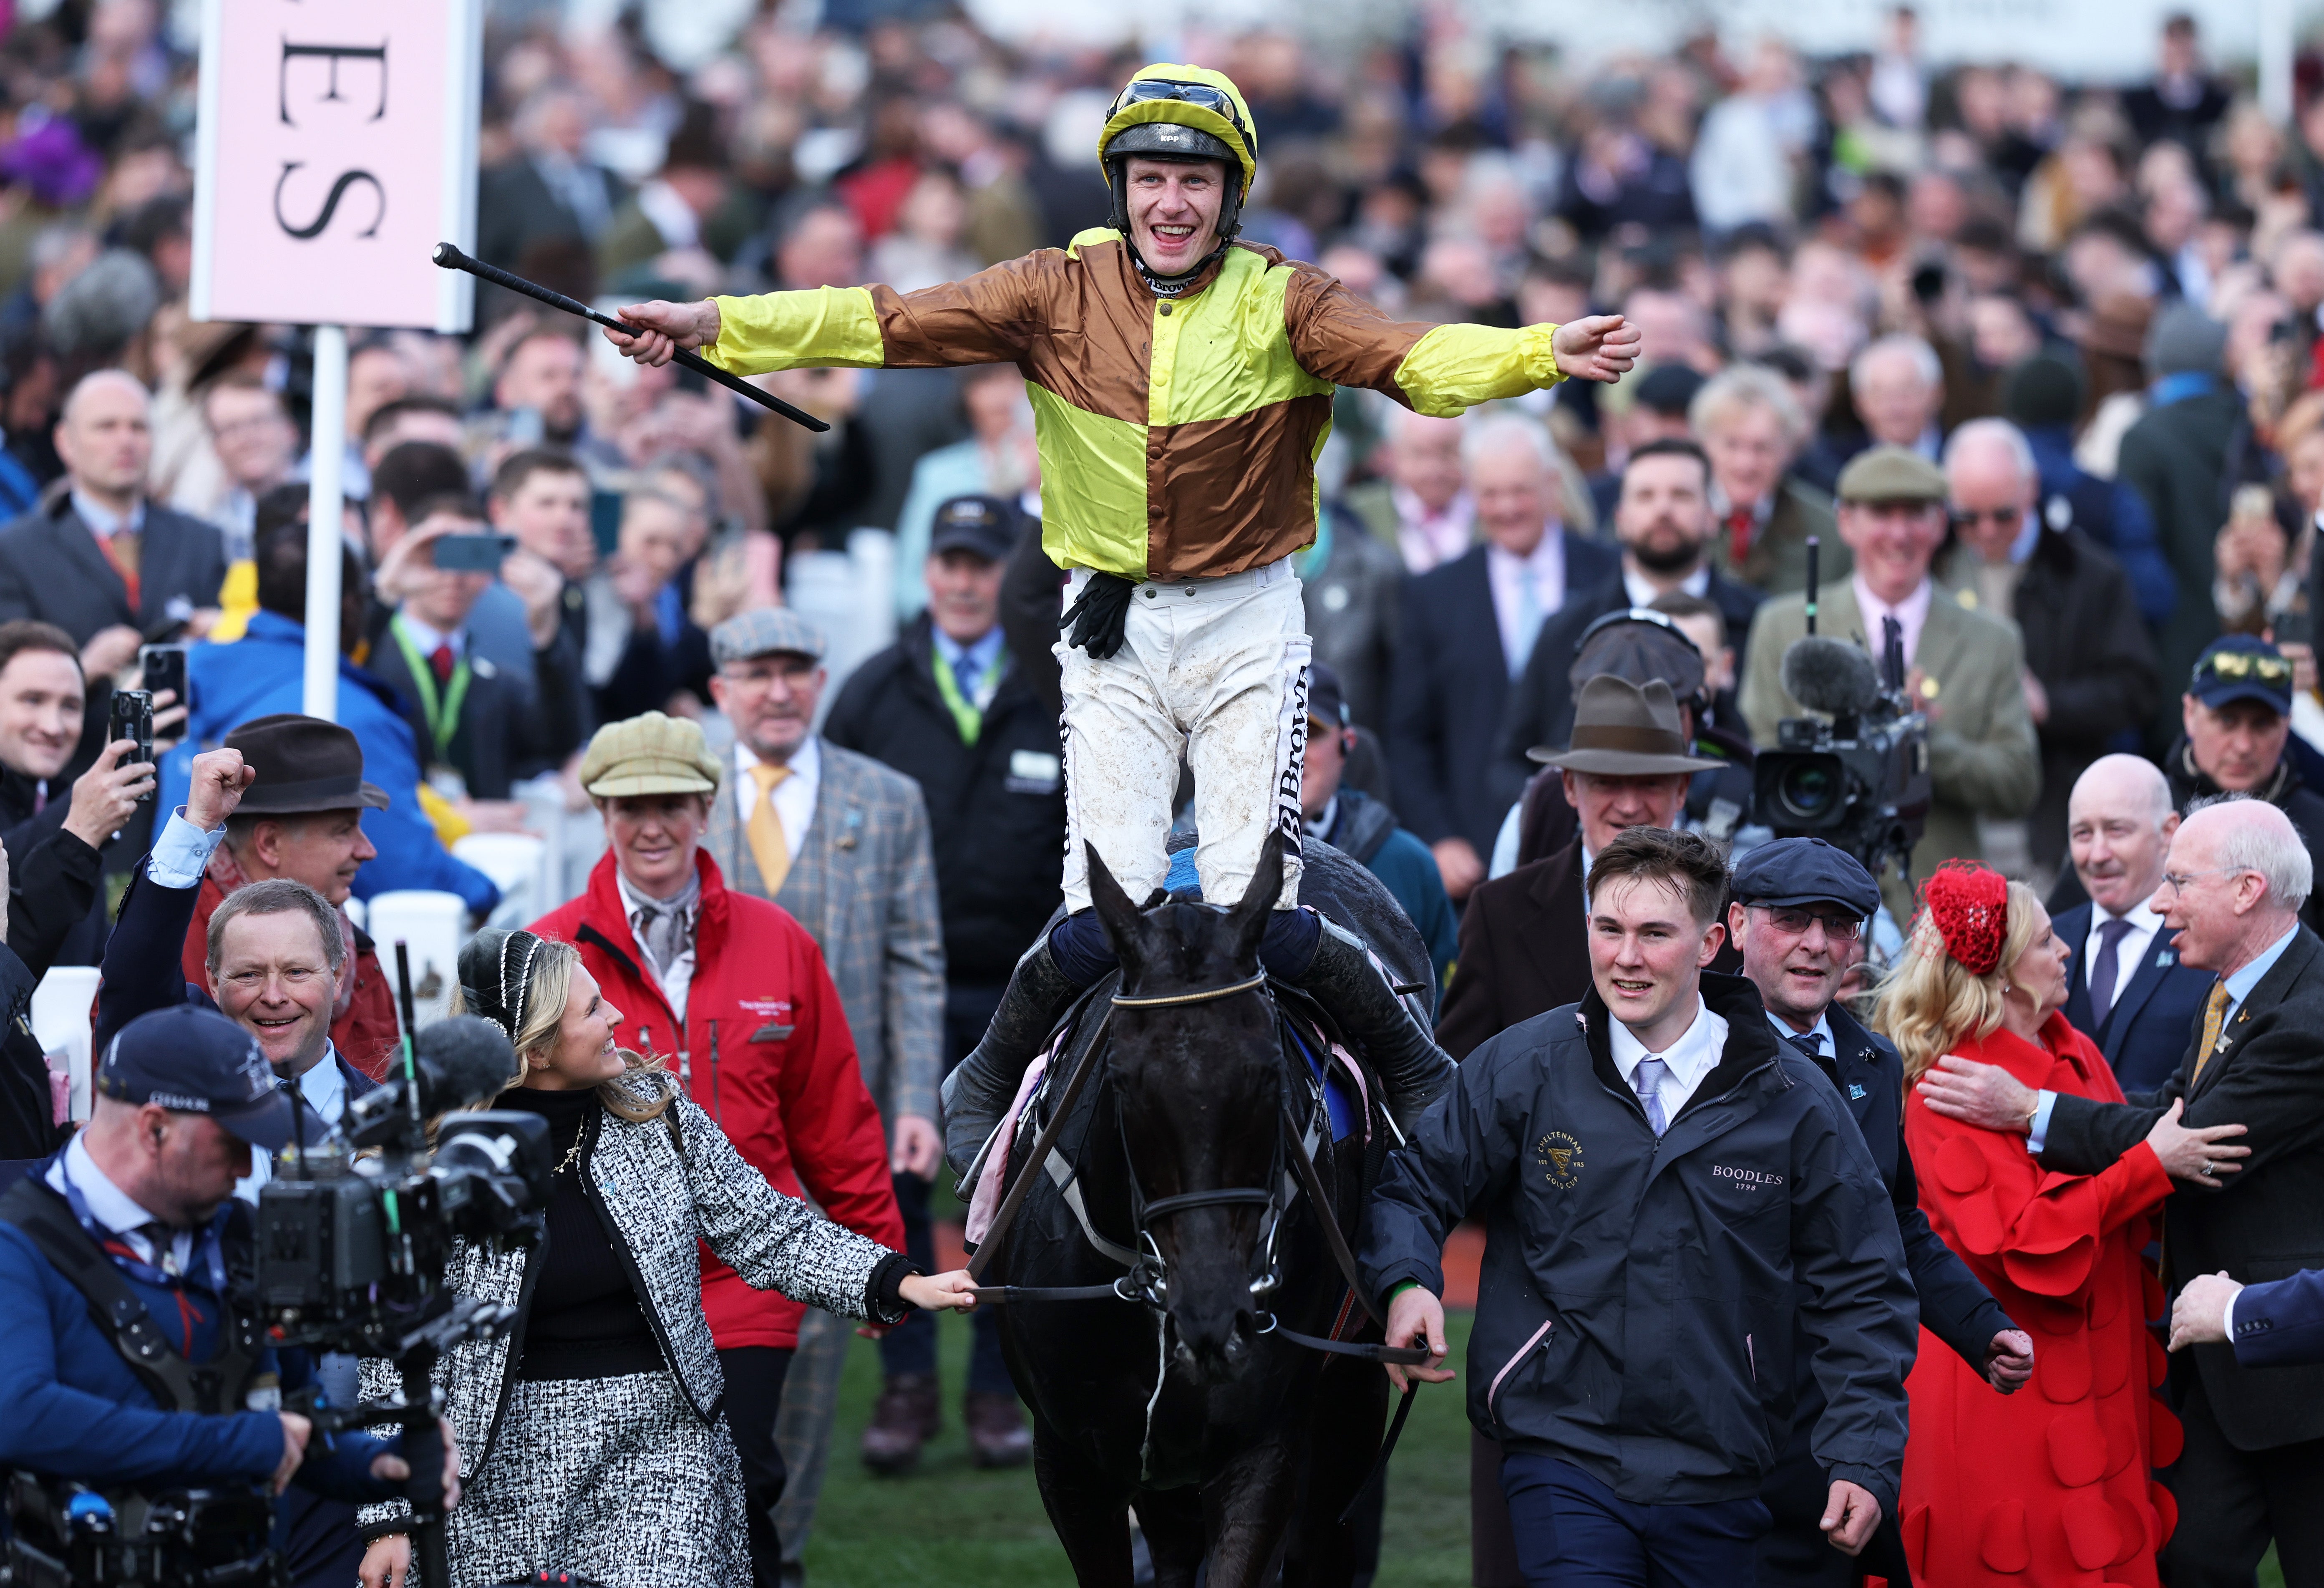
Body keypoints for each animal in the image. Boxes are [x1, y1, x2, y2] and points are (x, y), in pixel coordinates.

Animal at [971, 837, 1422, 1581]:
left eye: (1270, 1069)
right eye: (1122, 1077)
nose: (1213, 1310)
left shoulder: (1261, 1451)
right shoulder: (1072, 1460)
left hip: (1351, 1390)